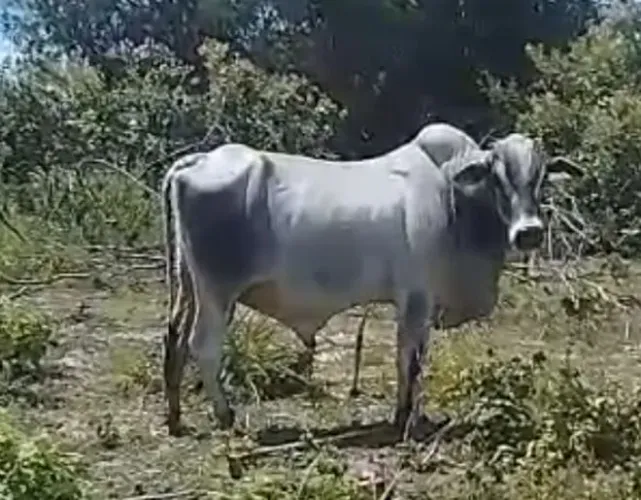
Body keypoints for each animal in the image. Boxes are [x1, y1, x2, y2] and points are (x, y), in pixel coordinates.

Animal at [161, 122, 582, 439]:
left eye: (540, 177)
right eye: (498, 176)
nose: (528, 233)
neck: (453, 197)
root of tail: (196, 161)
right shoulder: (416, 298)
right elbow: (409, 360)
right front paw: (405, 418)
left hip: (188, 286)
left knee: (174, 338)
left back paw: (176, 418)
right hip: (217, 292)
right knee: (202, 346)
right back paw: (225, 416)